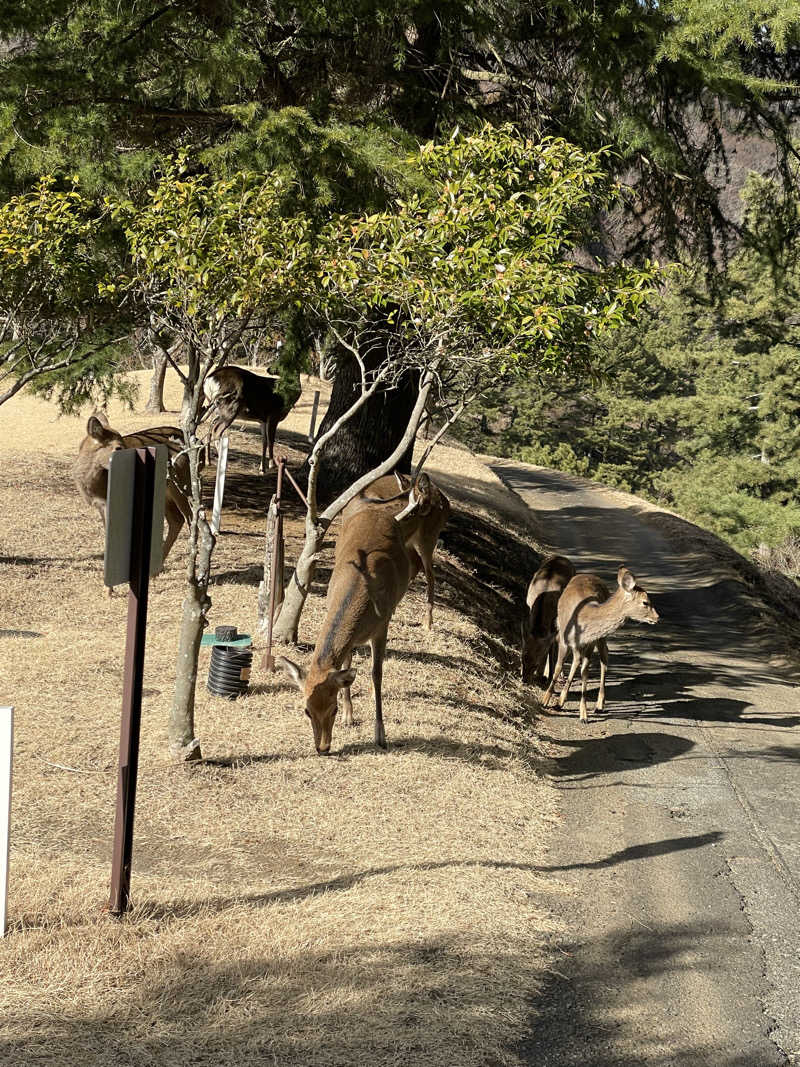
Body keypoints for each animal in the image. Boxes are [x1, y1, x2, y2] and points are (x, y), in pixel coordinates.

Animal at [341, 471, 452, 627]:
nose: (438, 507)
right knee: (417, 563)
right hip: (416, 542)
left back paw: (427, 621)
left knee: (429, 573)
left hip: (427, 539)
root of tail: (447, 502)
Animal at [522, 554, 580, 687]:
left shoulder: (555, 625)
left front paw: (546, 676)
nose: (524, 681)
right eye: (522, 659)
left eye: (535, 665)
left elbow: (551, 648)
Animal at [541, 563, 661, 721]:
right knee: (576, 660)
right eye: (645, 602)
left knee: (602, 657)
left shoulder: (590, 643)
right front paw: (545, 700)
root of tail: (587, 574)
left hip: (600, 638)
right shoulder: (564, 640)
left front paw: (583, 715)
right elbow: (559, 667)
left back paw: (598, 705)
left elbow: (584, 672)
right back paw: (561, 700)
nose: (657, 617)